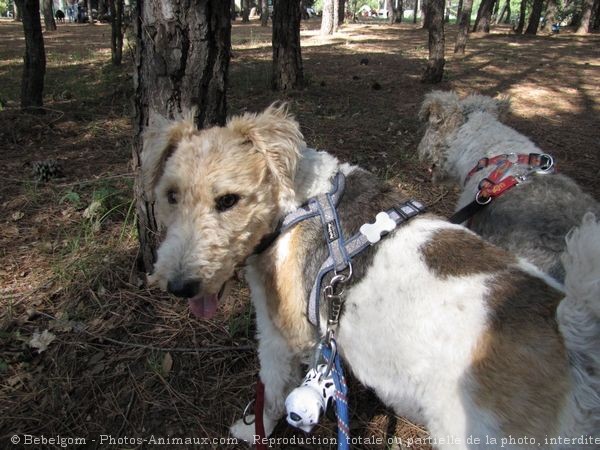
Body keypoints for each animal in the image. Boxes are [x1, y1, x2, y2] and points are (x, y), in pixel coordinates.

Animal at [143, 104, 600, 446]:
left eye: (228, 200)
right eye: (171, 195)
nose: (179, 286)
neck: (295, 201)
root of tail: (574, 339)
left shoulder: (278, 334)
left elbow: (270, 392)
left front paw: (250, 428)